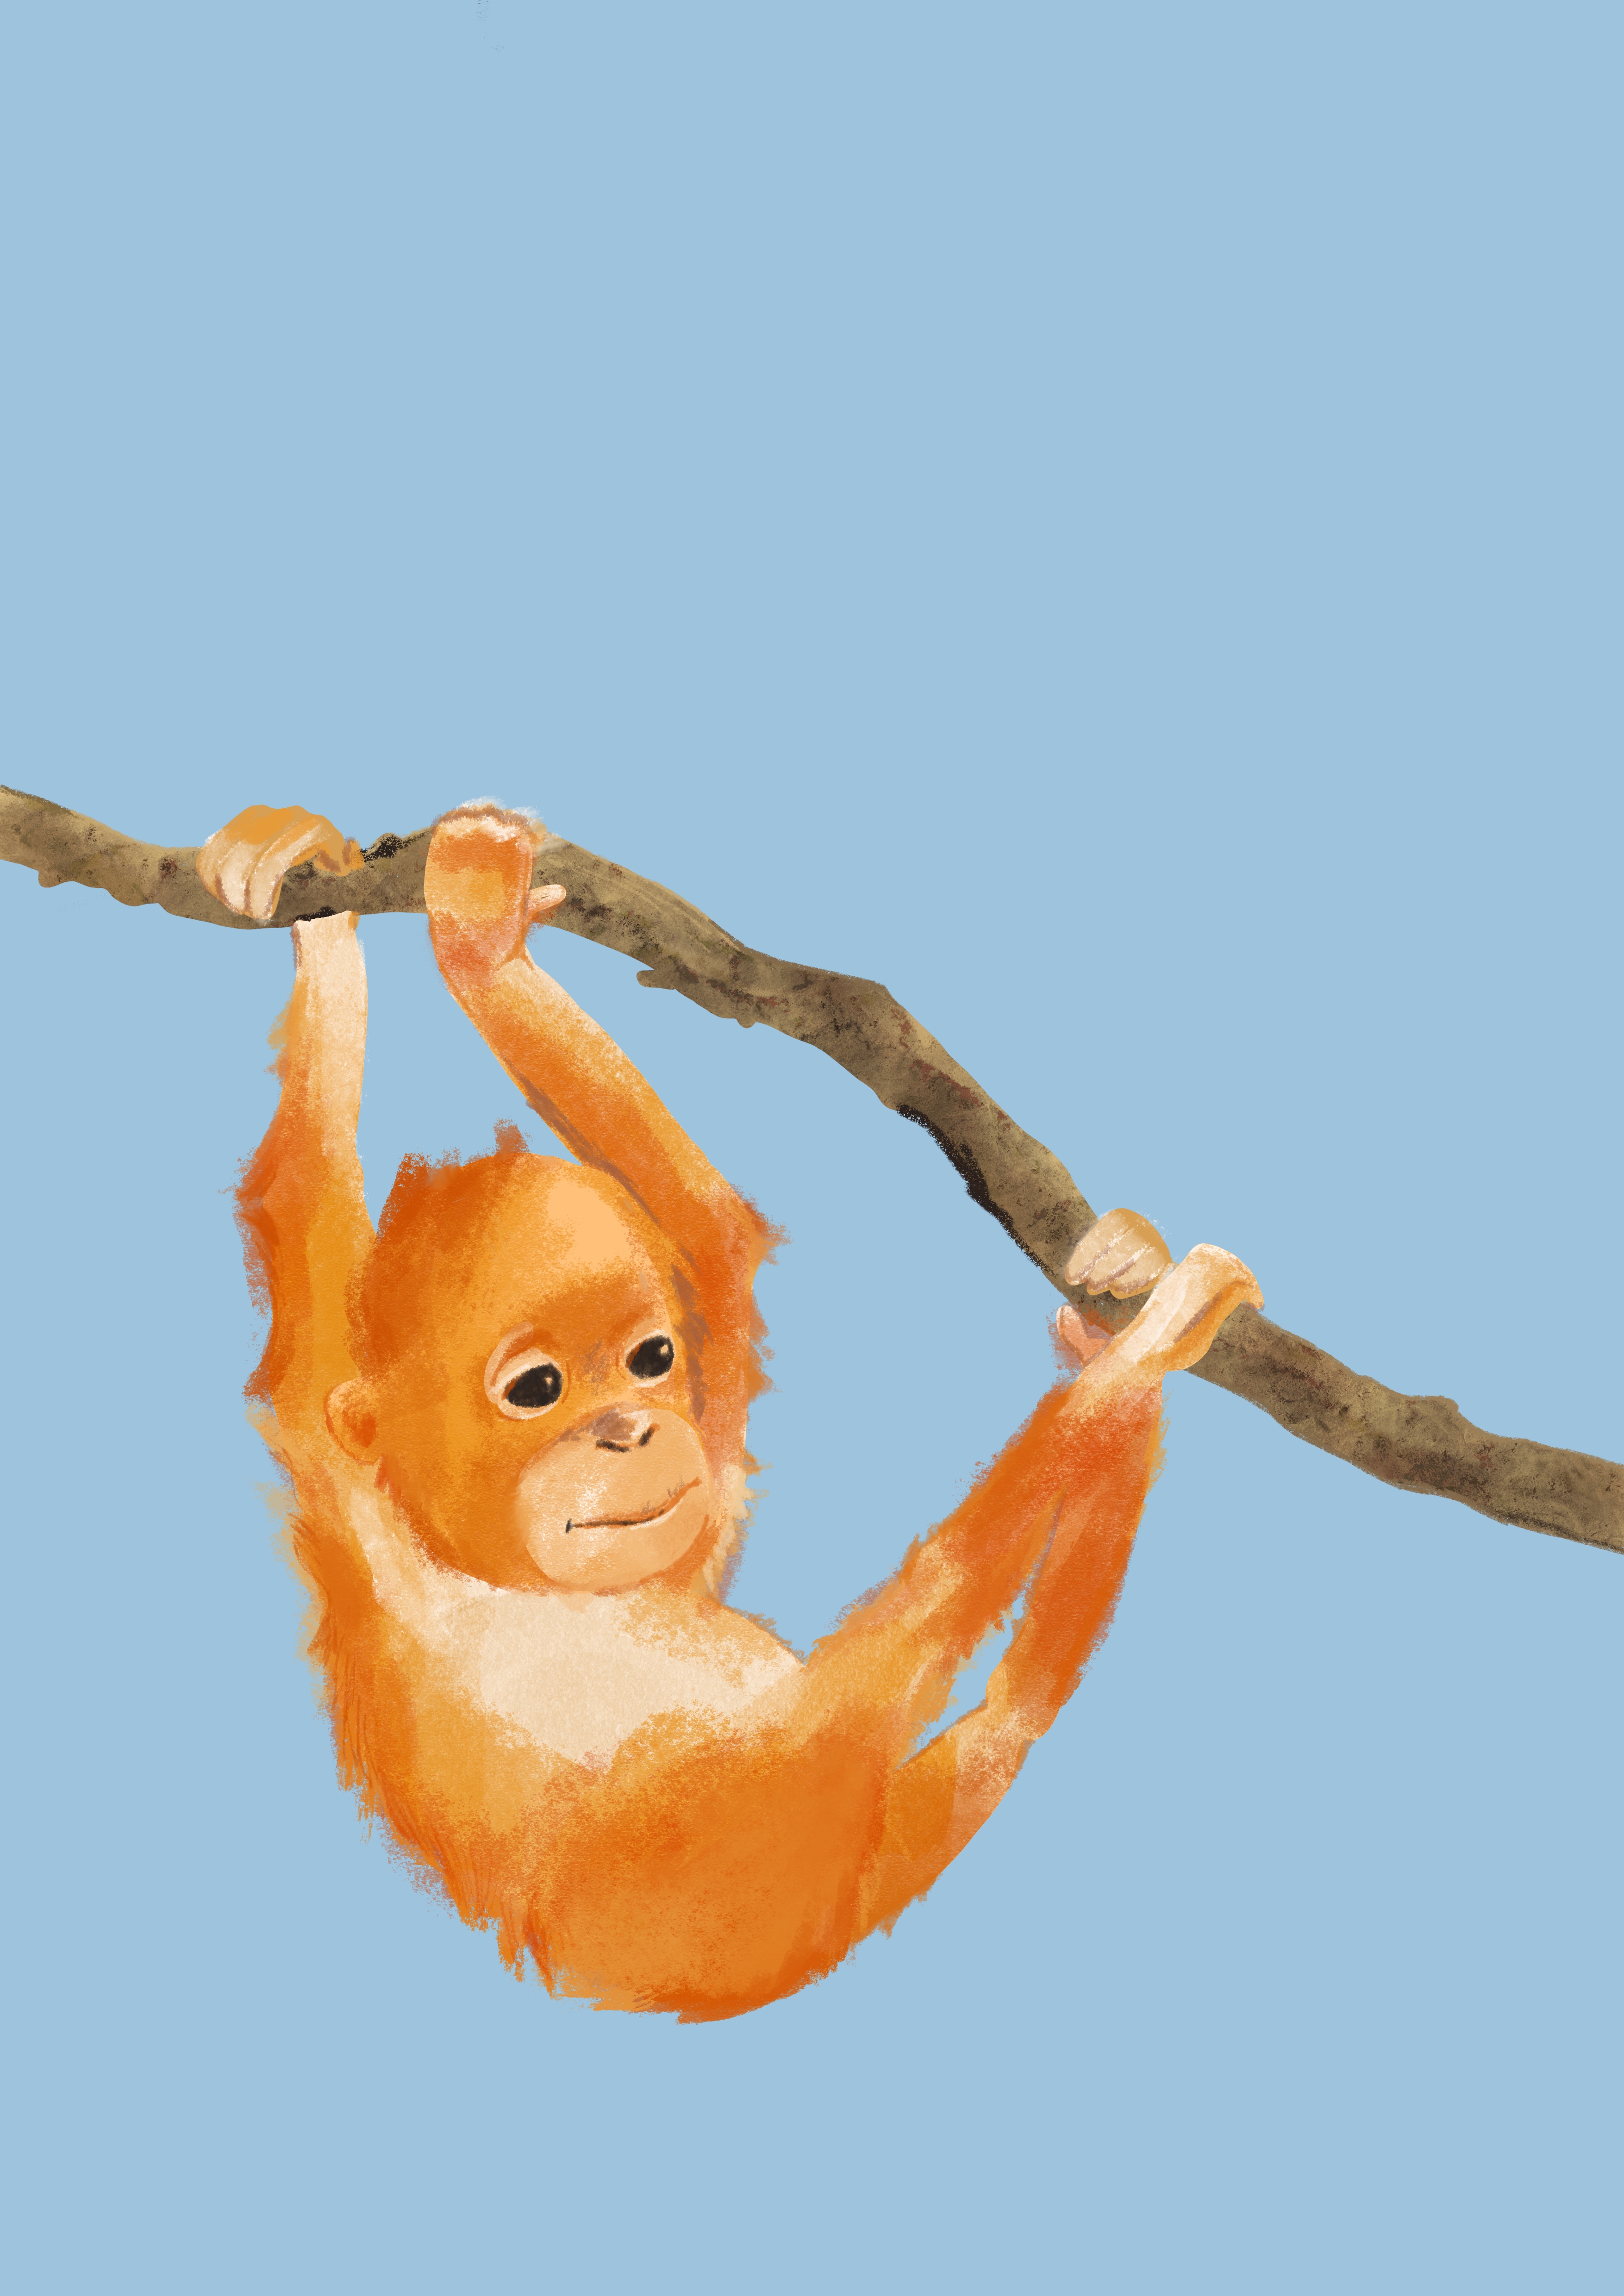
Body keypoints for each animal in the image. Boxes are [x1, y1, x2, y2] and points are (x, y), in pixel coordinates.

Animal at [199, 800, 1262, 2020]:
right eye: (537, 1389)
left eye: (650, 1359)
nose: (632, 1428)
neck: (503, 1576)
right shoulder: (363, 1525)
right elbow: (310, 1302)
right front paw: (448, 935)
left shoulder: (697, 1490)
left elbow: (709, 1235)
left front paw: (377, 922)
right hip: (744, 1896)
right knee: (888, 1682)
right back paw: (1128, 1363)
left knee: (997, 1712)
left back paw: (1115, 1308)